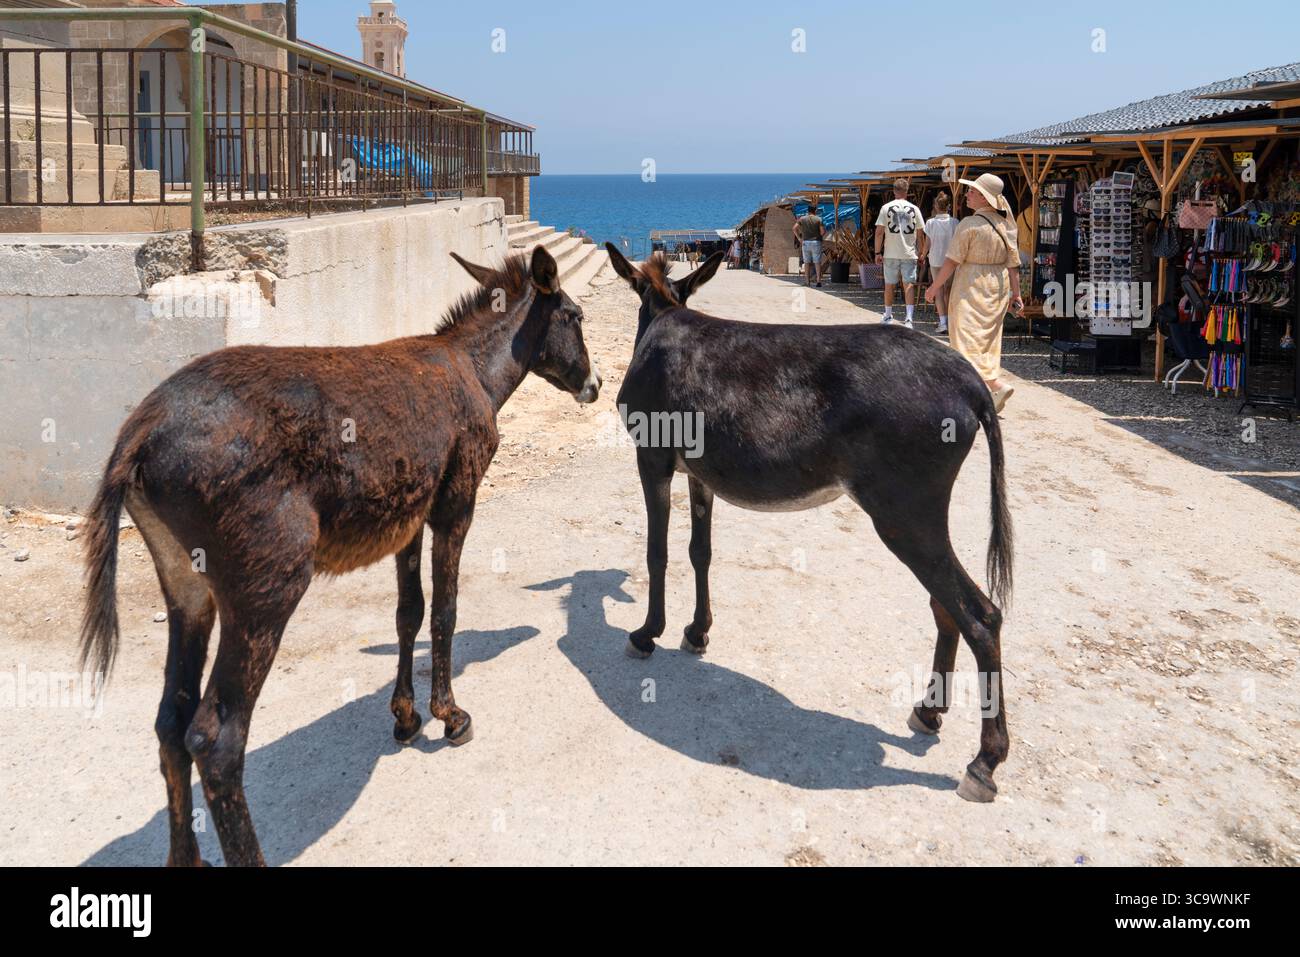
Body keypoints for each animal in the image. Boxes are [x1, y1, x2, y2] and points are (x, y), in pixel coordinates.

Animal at [79, 245, 601, 865]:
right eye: (575, 316)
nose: (596, 384)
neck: (474, 368)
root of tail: (141, 432)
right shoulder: (456, 505)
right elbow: (445, 612)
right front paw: (449, 716)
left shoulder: (408, 521)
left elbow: (408, 615)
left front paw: (405, 718)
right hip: (265, 588)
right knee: (217, 739)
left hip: (187, 588)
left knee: (170, 722)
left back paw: (186, 858)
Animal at [603, 244, 1012, 803]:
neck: (664, 316)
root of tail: (971, 382)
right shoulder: (700, 473)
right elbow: (700, 552)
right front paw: (697, 632)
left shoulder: (653, 458)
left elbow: (657, 553)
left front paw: (648, 634)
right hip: (920, 516)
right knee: (945, 606)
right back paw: (928, 713)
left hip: (903, 512)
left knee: (981, 615)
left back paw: (984, 763)